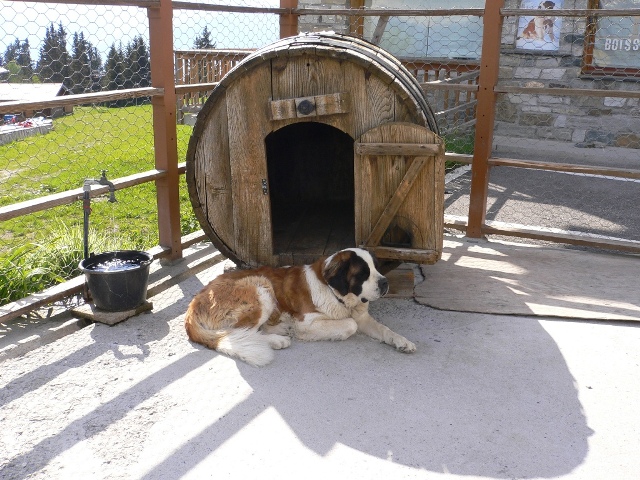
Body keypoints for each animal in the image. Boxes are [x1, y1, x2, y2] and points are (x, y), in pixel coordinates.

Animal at [184, 249, 416, 366]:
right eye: (362, 274)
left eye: (376, 268)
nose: (385, 283)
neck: (334, 292)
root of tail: (194, 303)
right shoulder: (307, 322)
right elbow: (350, 325)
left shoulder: (363, 317)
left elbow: (384, 329)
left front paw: (402, 342)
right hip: (260, 286)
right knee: (239, 333)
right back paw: (278, 339)